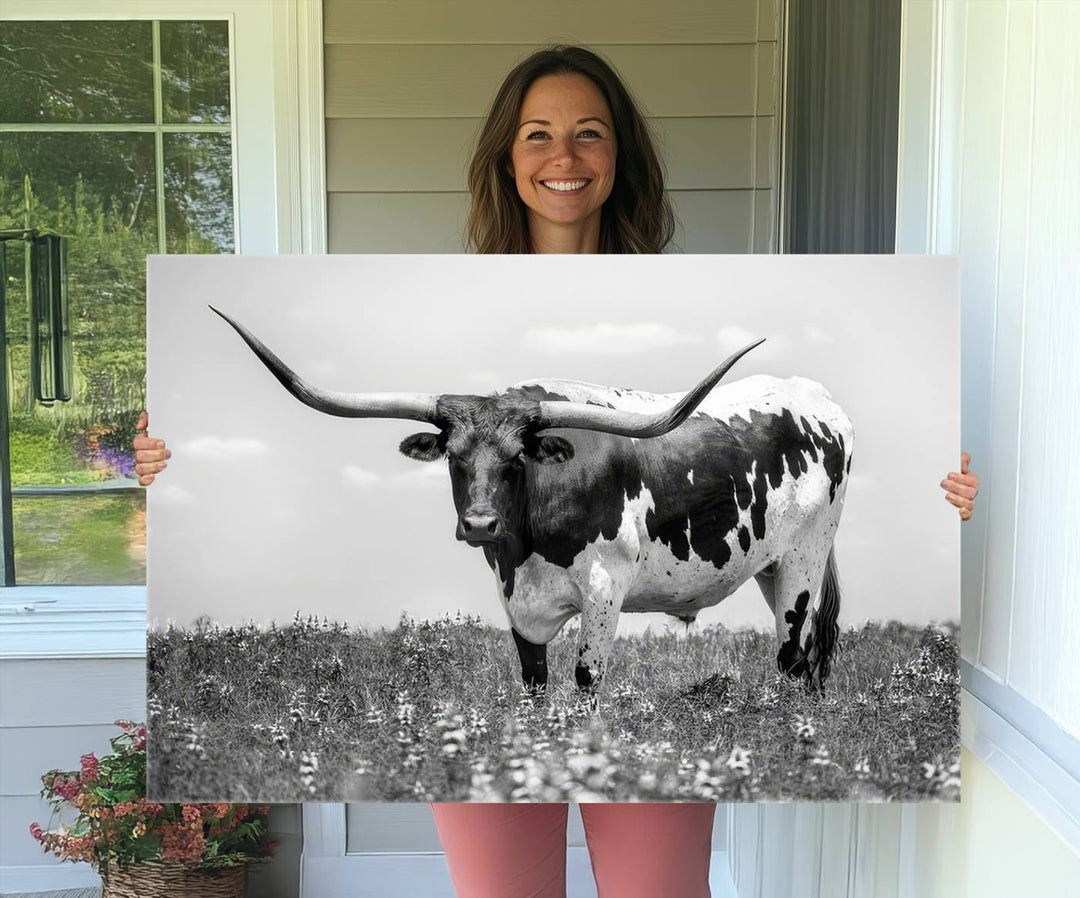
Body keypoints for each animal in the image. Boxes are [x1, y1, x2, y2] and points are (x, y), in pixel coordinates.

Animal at [208, 309, 851, 695]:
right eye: (454, 457)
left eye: (517, 459)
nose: (480, 524)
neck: (527, 544)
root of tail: (814, 397)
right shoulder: (515, 599)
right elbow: (534, 683)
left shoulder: (605, 589)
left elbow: (586, 681)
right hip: (768, 567)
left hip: (803, 562)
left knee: (793, 658)